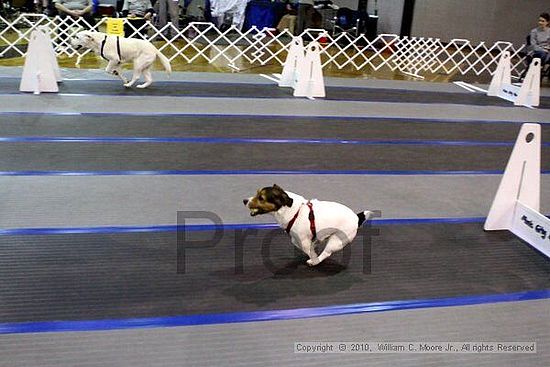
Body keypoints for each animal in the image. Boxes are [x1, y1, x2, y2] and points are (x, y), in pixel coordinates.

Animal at [244, 185, 374, 266]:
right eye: (256, 193)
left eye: (261, 198)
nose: (244, 200)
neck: (291, 211)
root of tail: (356, 218)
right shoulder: (299, 238)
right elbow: (302, 244)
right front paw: (314, 245)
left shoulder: (303, 241)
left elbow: (308, 250)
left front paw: (313, 257)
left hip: (336, 240)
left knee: (326, 253)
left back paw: (314, 261)